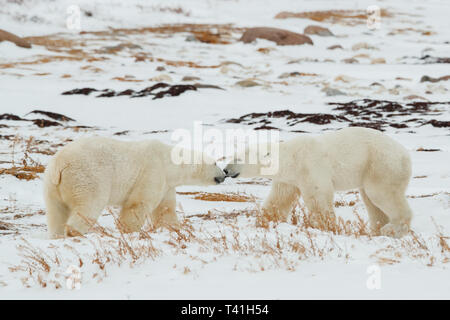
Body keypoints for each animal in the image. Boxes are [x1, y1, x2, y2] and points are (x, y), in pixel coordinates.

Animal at [44, 136, 225, 239]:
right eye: (216, 163)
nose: (223, 175)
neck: (169, 162)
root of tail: (60, 164)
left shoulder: (166, 183)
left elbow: (165, 209)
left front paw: (174, 228)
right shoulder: (152, 170)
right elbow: (138, 203)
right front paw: (129, 230)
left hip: (53, 186)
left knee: (56, 211)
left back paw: (57, 235)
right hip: (87, 176)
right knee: (89, 205)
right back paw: (75, 232)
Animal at [223, 127, 414, 238]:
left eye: (237, 159)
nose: (225, 170)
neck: (291, 157)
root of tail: (405, 155)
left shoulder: (310, 166)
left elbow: (318, 197)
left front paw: (326, 228)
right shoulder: (289, 178)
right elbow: (279, 199)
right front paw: (263, 223)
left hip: (380, 164)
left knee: (382, 194)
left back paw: (392, 229)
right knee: (372, 202)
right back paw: (376, 230)